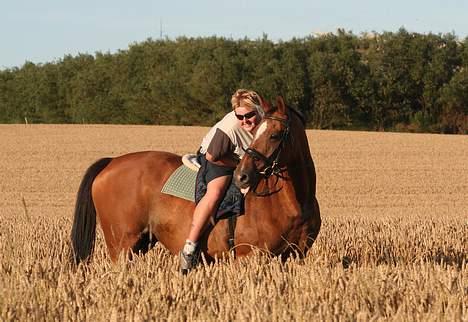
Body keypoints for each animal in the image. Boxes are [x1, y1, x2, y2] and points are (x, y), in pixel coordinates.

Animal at [71, 96, 320, 266]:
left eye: (274, 135)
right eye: (256, 129)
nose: (242, 176)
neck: (292, 202)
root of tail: (111, 162)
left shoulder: (295, 256)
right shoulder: (251, 257)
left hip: (140, 243)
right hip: (121, 247)